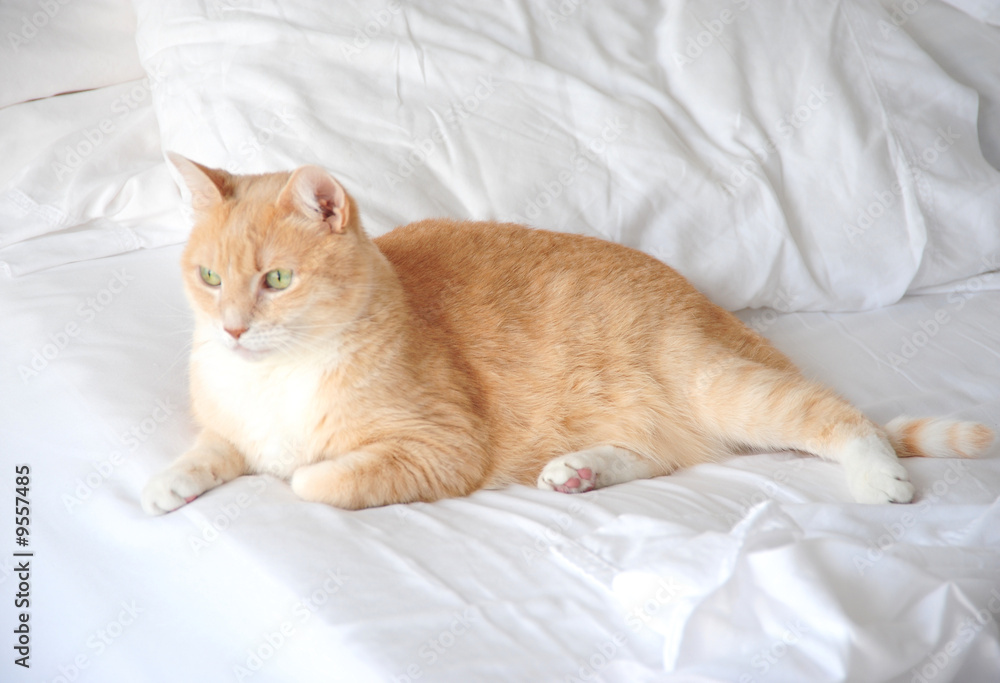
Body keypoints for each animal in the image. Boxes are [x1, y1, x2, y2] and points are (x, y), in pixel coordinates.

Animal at [141, 155, 992, 512]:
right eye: (209, 277)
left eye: (277, 280)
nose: (232, 329)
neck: (272, 376)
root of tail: (707, 305)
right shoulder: (233, 424)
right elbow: (219, 448)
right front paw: (170, 479)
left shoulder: (439, 446)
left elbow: (309, 479)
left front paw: (293, 472)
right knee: (669, 452)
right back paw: (580, 468)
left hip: (730, 387)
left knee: (839, 416)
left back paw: (879, 475)